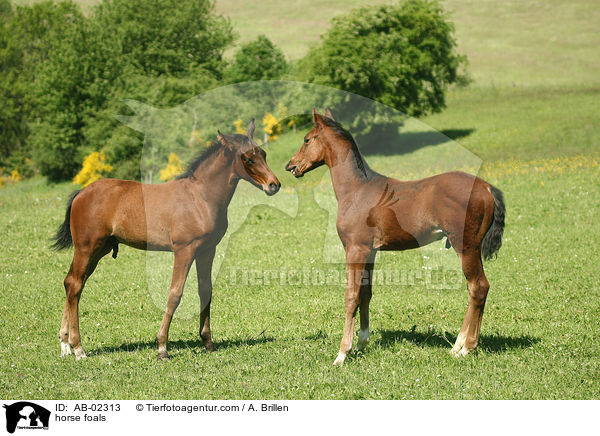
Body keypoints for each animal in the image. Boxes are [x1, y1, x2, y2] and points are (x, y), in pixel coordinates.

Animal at [52, 121, 280, 360]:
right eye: (248, 159)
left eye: (263, 154)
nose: (274, 185)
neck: (200, 197)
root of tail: (81, 193)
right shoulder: (184, 250)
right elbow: (174, 294)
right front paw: (162, 347)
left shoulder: (208, 250)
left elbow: (205, 291)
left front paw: (208, 342)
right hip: (86, 248)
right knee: (75, 285)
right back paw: (78, 348)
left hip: (99, 250)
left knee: (71, 282)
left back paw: (65, 344)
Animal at [284, 108, 504, 364]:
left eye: (307, 139)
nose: (291, 165)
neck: (357, 190)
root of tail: (486, 187)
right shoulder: (369, 251)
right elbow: (366, 293)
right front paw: (361, 344)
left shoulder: (355, 249)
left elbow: (351, 296)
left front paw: (342, 353)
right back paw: (458, 345)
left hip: (466, 247)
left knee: (478, 287)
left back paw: (465, 348)